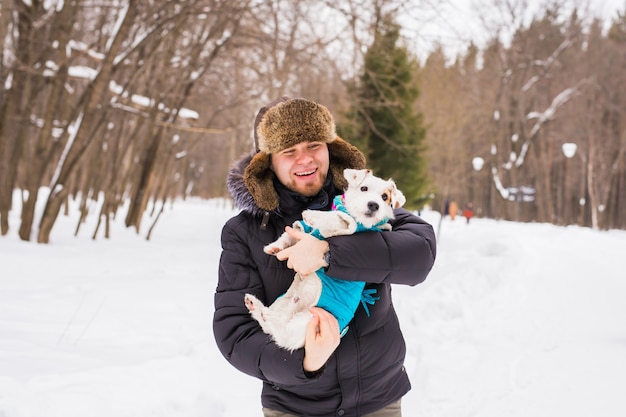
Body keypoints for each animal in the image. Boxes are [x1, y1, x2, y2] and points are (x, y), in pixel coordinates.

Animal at [241, 167, 408, 350]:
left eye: (385, 197)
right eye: (364, 188)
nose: (374, 205)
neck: (354, 216)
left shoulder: (347, 227)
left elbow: (333, 218)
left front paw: (313, 215)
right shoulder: (302, 230)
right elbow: (290, 234)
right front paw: (275, 247)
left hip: (306, 321)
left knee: (278, 329)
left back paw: (265, 313)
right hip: (283, 304)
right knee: (270, 327)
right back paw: (255, 305)